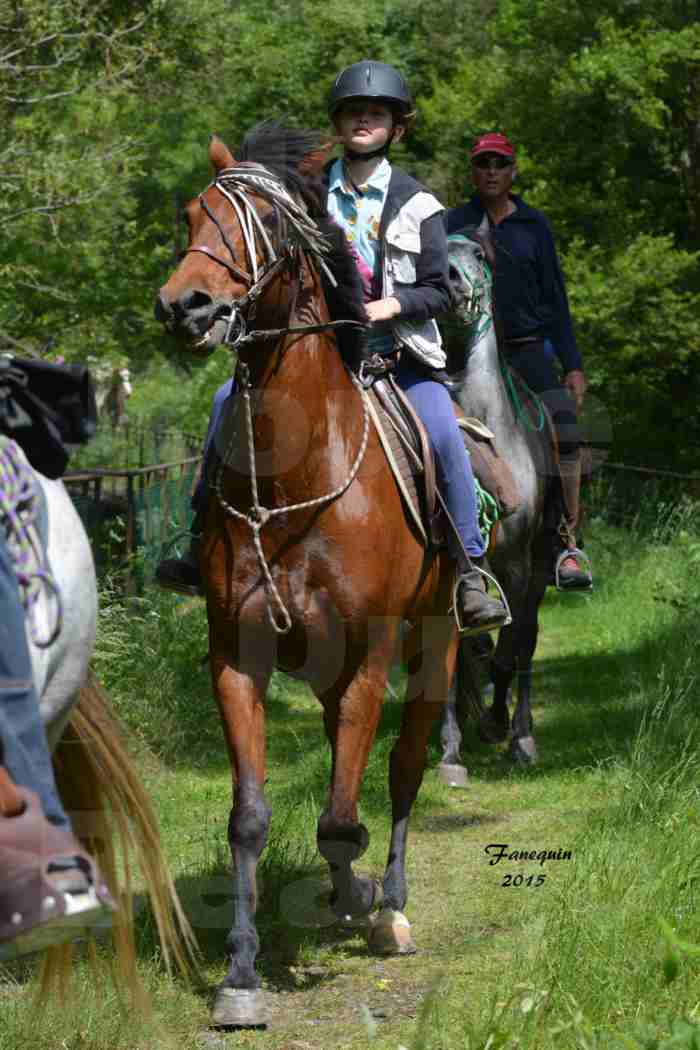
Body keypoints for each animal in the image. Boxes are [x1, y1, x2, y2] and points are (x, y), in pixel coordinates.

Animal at [154, 122, 459, 1024]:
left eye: (268, 224)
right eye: (195, 213)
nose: (183, 306)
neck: (293, 485)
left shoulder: (369, 656)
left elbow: (343, 809)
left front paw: (359, 901)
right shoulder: (237, 656)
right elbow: (252, 819)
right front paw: (240, 974)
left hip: (436, 648)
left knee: (400, 770)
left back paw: (388, 907)